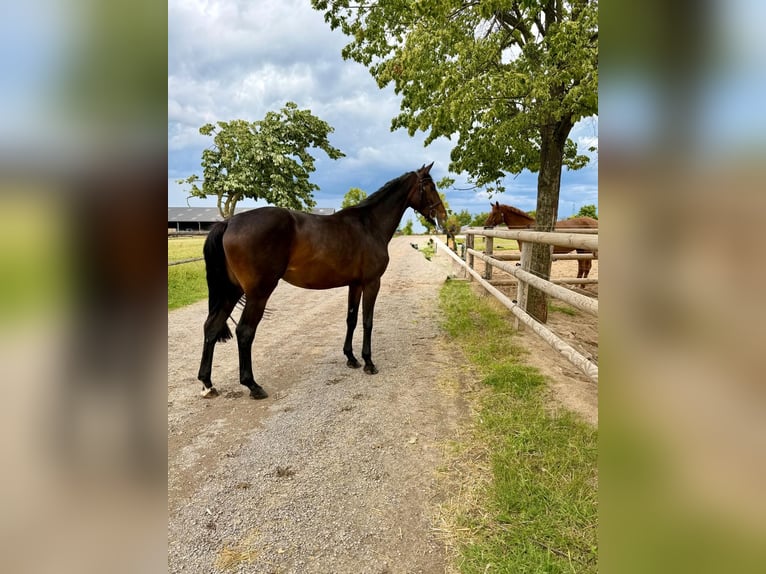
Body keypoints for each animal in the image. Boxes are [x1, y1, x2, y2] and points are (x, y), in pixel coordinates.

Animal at [197, 163, 447, 399]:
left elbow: (351, 319)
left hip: (231, 291)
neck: (369, 225)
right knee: (245, 332)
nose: (443, 216)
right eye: (430, 186)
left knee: (212, 327)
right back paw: (252, 385)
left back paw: (207, 384)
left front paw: (351, 358)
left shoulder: (355, 284)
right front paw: (368, 363)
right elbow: (367, 321)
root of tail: (229, 223)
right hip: (258, 293)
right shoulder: (371, 282)